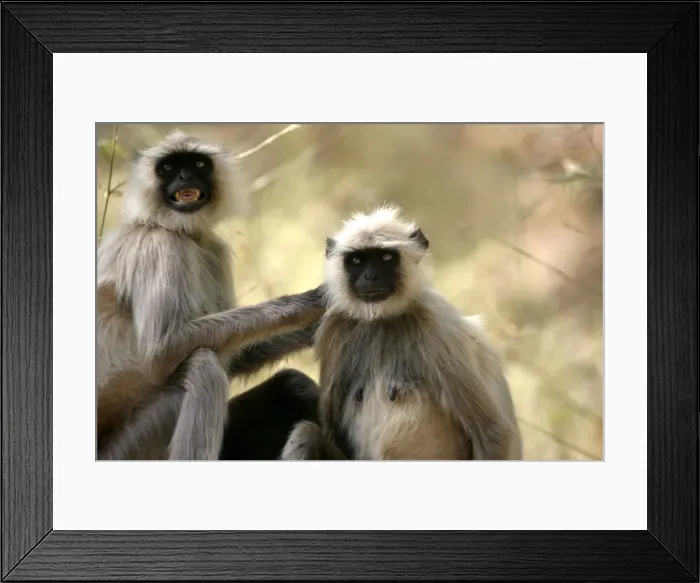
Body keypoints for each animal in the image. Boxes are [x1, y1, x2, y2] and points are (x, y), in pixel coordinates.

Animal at [96, 130, 326, 461]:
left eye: (198, 164)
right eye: (168, 168)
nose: (184, 177)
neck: (177, 230)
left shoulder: (213, 250)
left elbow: (235, 354)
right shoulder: (158, 246)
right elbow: (162, 350)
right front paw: (310, 302)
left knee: (292, 386)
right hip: (129, 449)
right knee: (203, 367)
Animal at [280, 205, 523, 461]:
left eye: (386, 258)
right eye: (356, 260)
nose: (370, 276)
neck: (383, 319)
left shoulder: (438, 324)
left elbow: (492, 432)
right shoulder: (335, 328)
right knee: (306, 434)